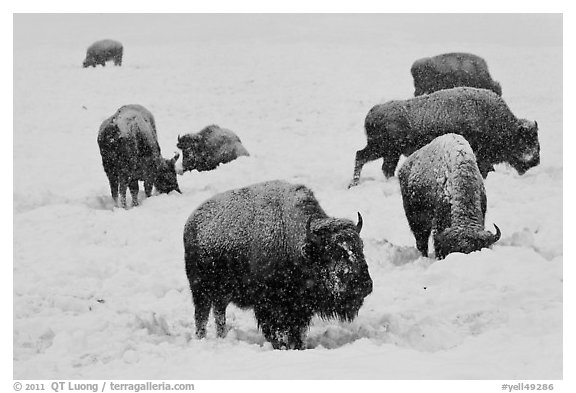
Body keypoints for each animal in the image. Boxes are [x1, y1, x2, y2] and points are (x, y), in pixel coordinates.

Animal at [184, 179, 374, 348]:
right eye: (333, 252)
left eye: (360, 247)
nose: (365, 285)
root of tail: (191, 222)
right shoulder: (269, 306)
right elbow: (277, 331)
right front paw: (282, 346)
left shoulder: (300, 308)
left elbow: (298, 331)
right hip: (200, 290)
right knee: (201, 316)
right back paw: (202, 339)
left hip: (221, 294)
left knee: (219, 313)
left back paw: (221, 337)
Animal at [346, 86, 540, 188]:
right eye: (526, 140)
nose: (535, 161)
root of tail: (373, 112)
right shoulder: (480, 156)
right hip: (383, 149)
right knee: (361, 156)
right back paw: (354, 184)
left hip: (390, 153)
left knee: (382, 166)